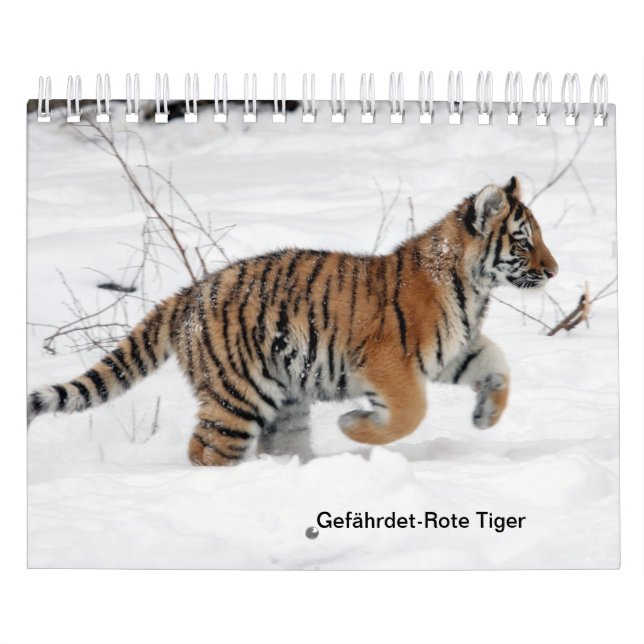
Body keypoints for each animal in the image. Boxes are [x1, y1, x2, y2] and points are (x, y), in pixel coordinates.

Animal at [28, 177, 558, 466]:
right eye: (524, 240)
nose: (554, 271)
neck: (474, 288)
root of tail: (188, 293)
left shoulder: (453, 350)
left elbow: (498, 364)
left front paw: (487, 416)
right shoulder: (389, 362)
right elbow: (411, 412)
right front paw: (354, 425)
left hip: (285, 402)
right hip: (237, 397)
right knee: (206, 451)